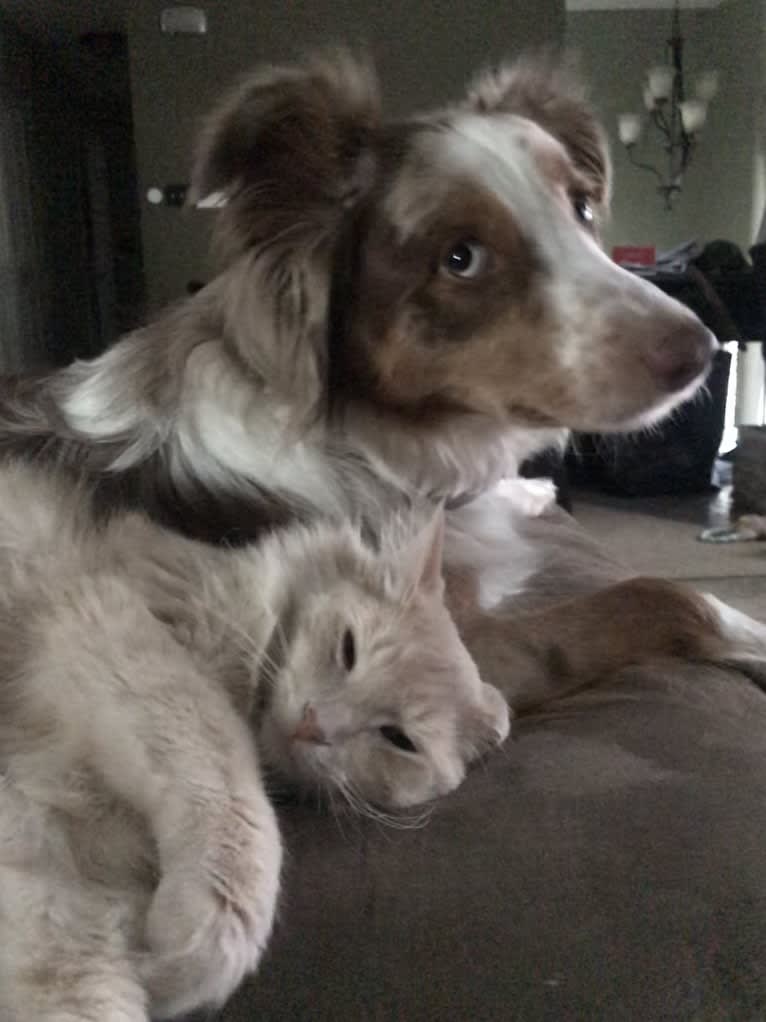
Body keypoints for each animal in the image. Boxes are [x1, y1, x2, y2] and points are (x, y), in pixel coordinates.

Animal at [0, 53, 763, 703]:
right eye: (461, 258)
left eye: (579, 207)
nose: (699, 350)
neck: (374, 440)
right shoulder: (447, 660)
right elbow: (664, 593)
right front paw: (753, 636)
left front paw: (530, 491)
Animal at [0, 466, 510, 1021]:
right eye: (348, 649)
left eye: (398, 739)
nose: (314, 724)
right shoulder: (110, 616)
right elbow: (230, 781)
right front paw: (203, 937)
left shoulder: (47, 868)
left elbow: (80, 980)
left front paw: (167, 973)